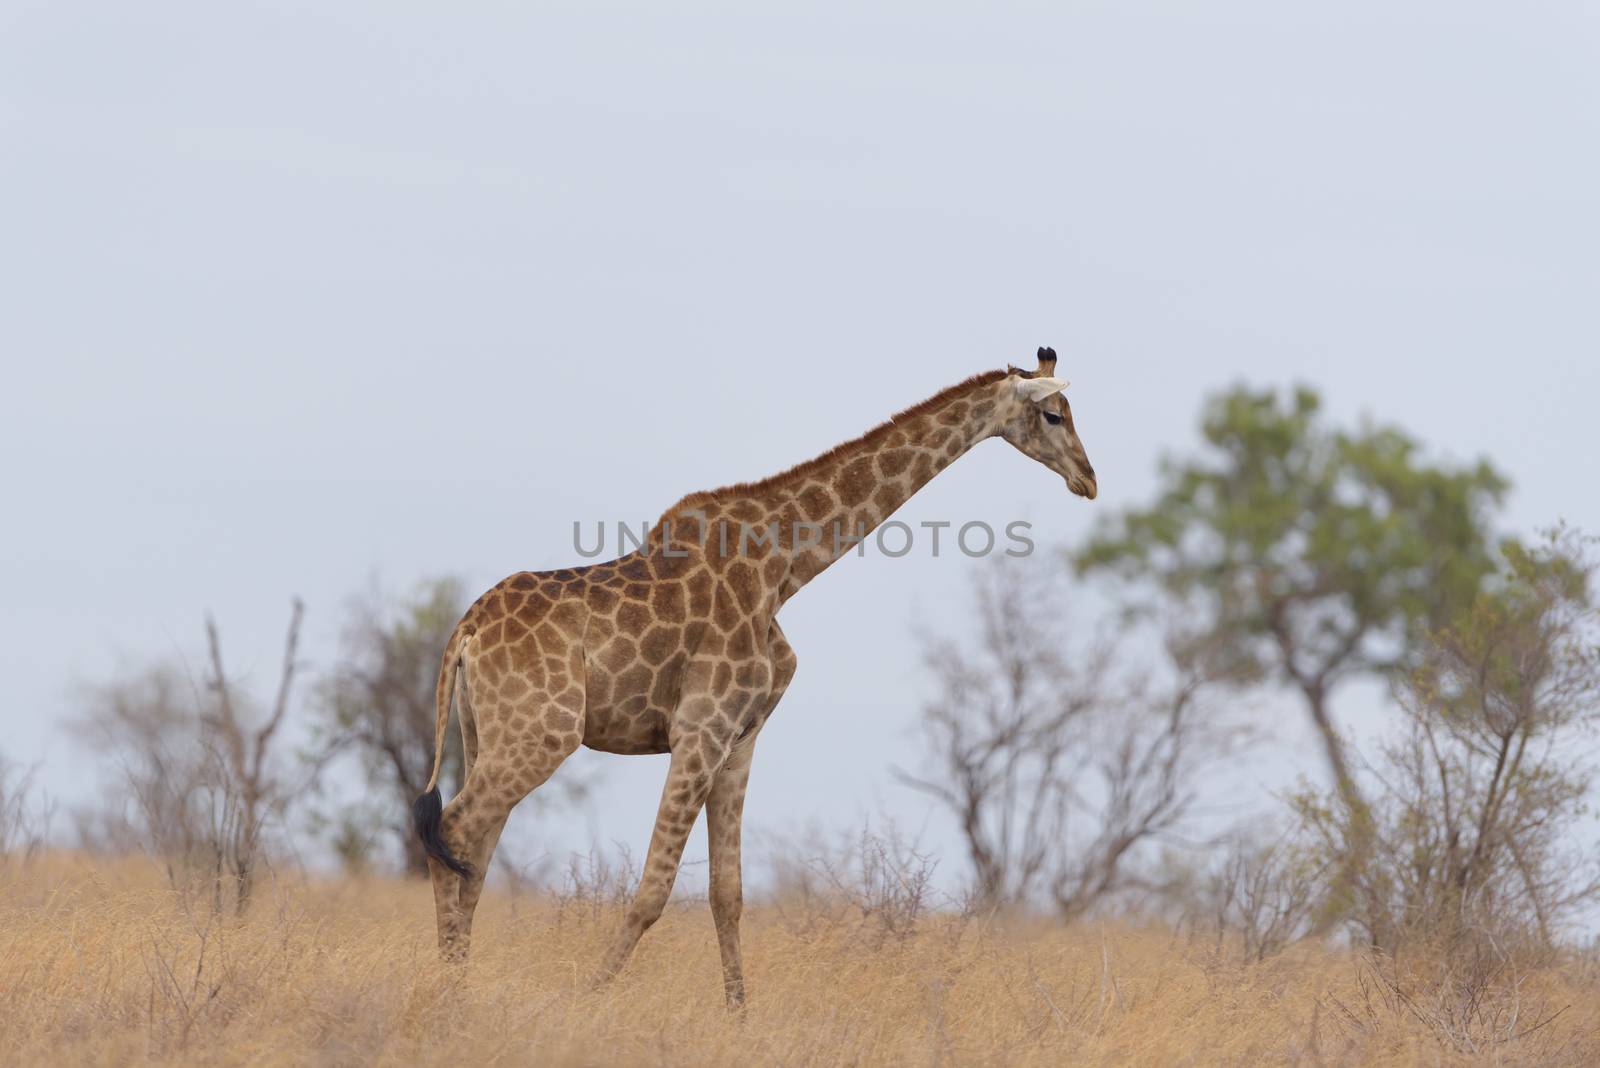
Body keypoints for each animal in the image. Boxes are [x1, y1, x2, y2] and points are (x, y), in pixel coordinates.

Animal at [406, 346, 1094, 1004]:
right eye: (1053, 415)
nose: (1088, 479)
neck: (784, 566)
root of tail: (465, 631)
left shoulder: (740, 739)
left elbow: (727, 894)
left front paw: (739, 1015)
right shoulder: (700, 730)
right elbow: (654, 890)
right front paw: (584, 1000)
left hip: (483, 734)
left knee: (471, 854)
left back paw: (455, 988)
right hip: (540, 733)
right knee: (455, 831)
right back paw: (450, 995)